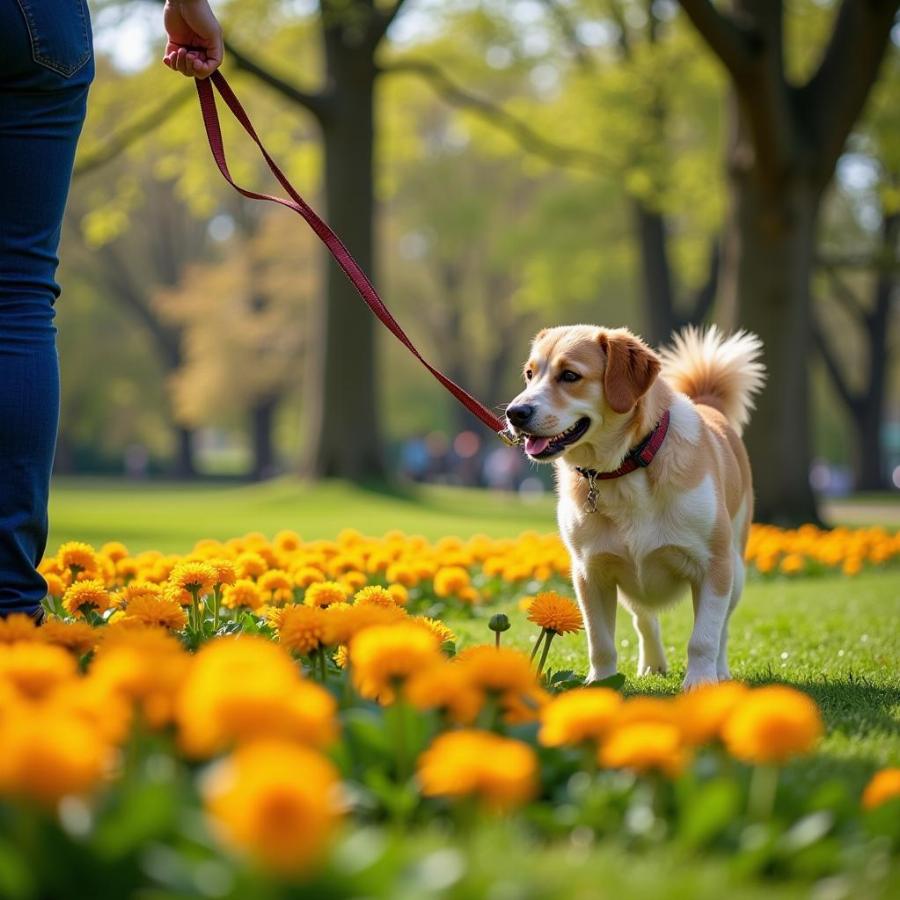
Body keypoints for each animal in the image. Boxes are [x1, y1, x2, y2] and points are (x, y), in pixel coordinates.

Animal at [506, 326, 768, 684]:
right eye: (529, 375)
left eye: (570, 375)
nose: (514, 413)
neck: (625, 470)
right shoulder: (591, 573)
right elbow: (600, 642)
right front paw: (600, 684)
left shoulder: (714, 566)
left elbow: (703, 638)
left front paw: (700, 683)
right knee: (646, 621)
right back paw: (652, 665)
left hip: (737, 573)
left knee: (722, 630)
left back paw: (721, 672)